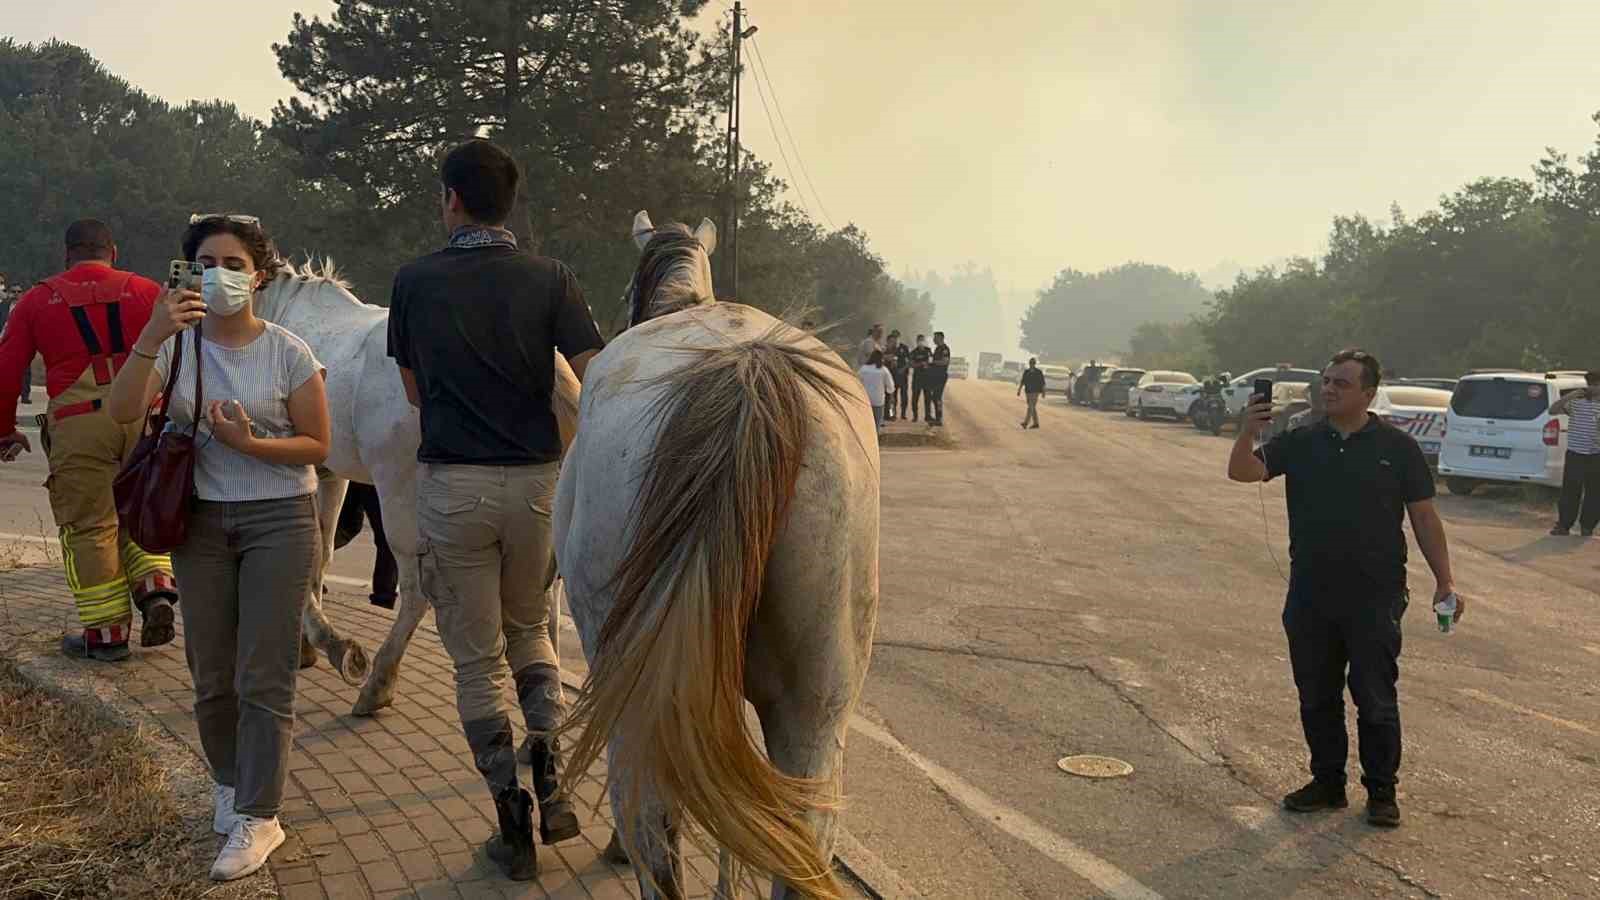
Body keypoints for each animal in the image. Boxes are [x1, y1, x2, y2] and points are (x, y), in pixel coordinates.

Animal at [259, 262, 585, 711]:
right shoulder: (330, 473)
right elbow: (320, 552)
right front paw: (309, 645)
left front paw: (329, 645)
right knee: (545, 599)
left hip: (405, 500)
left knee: (417, 590)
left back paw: (379, 683)